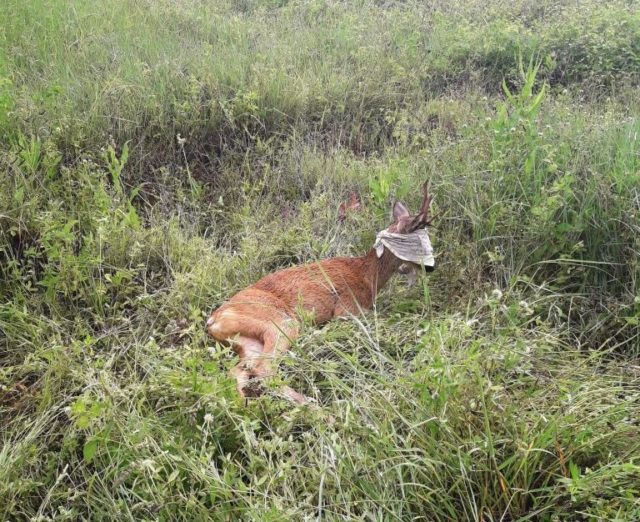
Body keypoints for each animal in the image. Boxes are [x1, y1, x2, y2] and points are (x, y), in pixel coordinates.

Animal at [205, 183, 436, 402]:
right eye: (417, 236)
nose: (431, 268)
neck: (367, 276)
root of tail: (213, 320)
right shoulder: (347, 310)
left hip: (248, 342)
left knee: (238, 371)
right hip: (280, 323)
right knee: (264, 369)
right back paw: (312, 406)